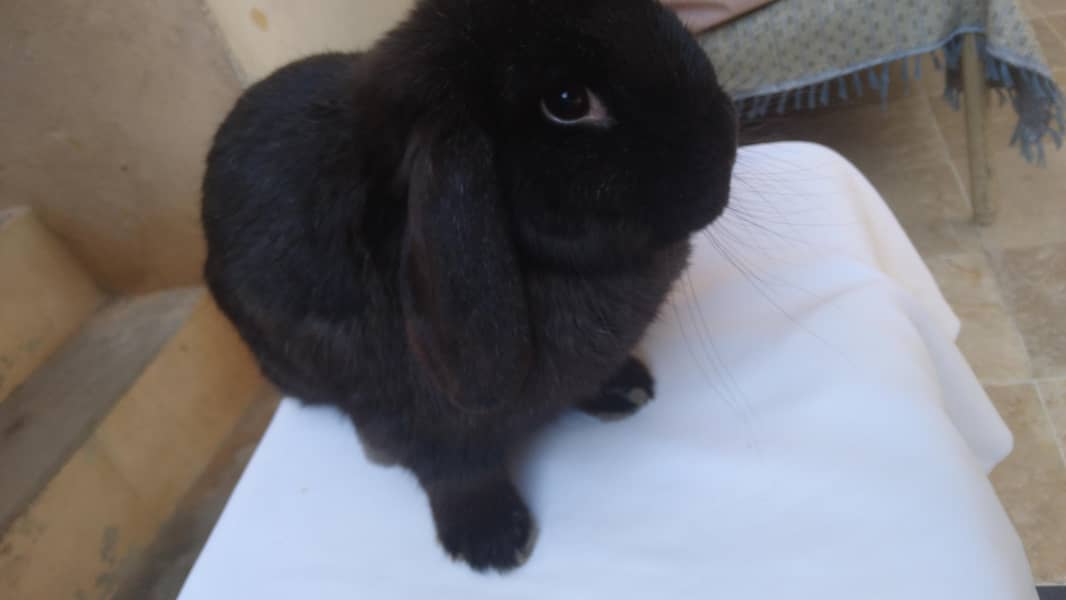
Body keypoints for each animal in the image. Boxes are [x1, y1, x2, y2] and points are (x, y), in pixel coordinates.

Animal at [202, 0, 737, 573]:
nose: (725, 151)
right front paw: (493, 542)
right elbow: (456, 473)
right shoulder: (414, 423)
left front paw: (625, 388)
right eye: (567, 101)